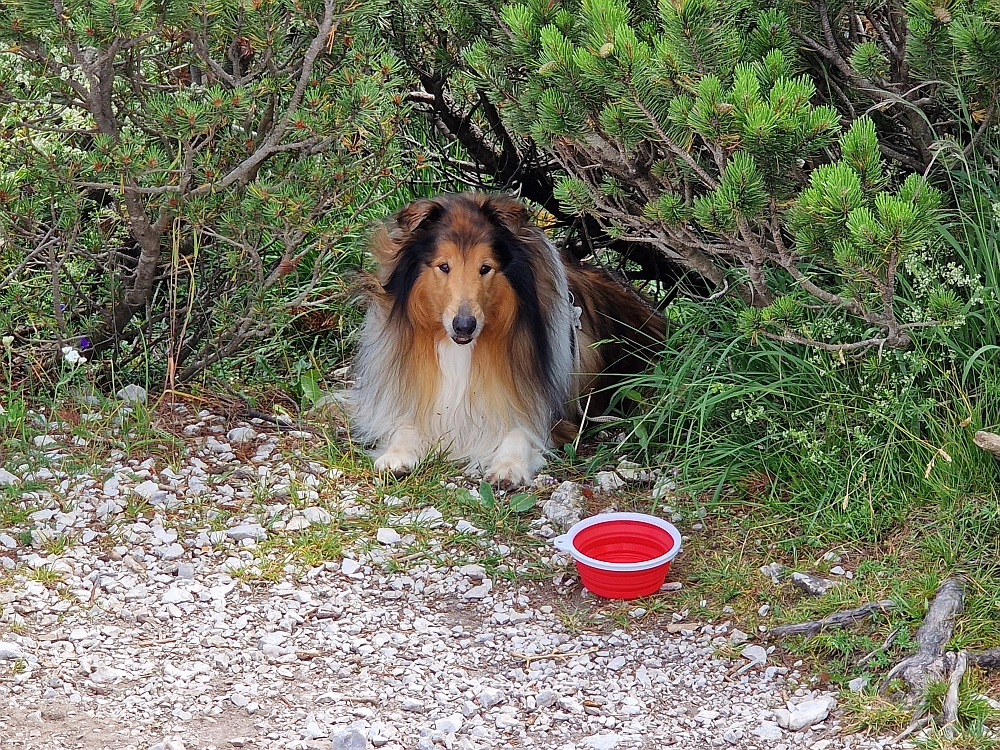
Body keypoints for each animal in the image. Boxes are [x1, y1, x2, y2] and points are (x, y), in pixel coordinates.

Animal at [350, 192, 664, 488]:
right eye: (444, 266)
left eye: (485, 268)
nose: (464, 326)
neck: (463, 352)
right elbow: (405, 426)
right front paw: (396, 456)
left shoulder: (546, 415)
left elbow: (519, 433)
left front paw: (508, 467)